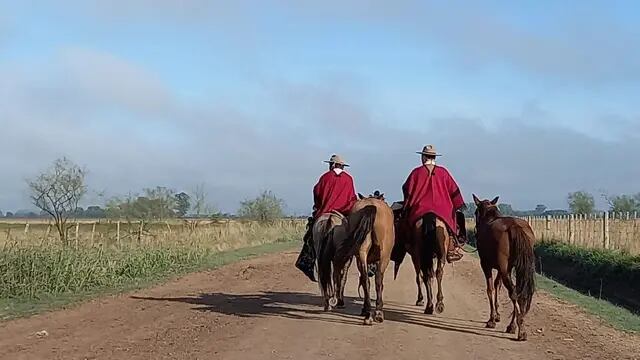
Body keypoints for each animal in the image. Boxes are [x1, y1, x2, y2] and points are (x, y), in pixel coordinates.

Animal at [330, 197, 396, 326]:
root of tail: (371, 205)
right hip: (384, 256)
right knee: (377, 280)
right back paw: (377, 312)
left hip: (361, 253)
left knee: (365, 280)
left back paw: (368, 314)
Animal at [472, 195, 536, 342]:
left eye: (476, 212)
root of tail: (514, 226)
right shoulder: (503, 269)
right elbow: (497, 285)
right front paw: (497, 315)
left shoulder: (486, 265)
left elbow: (490, 288)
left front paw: (492, 319)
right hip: (515, 269)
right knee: (518, 293)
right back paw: (513, 325)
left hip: (503, 269)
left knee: (513, 293)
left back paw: (520, 330)